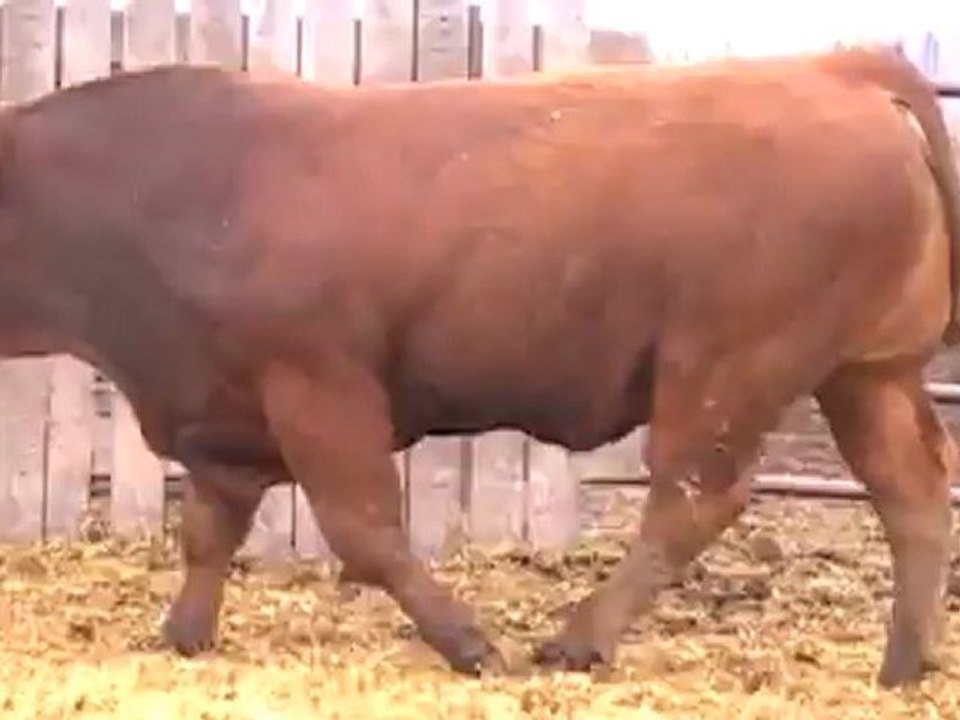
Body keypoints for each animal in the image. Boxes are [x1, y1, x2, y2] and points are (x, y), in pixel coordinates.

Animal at [0, 45, 956, 689]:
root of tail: (835, 67)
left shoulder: (318, 385)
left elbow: (366, 530)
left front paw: (468, 642)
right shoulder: (220, 411)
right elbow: (208, 532)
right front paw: (182, 634)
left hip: (725, 367)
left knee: (693, 499)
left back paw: (578, 640)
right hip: (867, 373)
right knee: (912, 491)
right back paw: (903, 663)